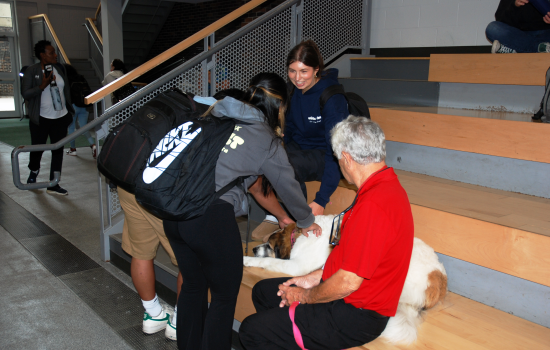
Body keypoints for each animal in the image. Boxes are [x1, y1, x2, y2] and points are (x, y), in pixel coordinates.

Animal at [246, 215, 448, 344]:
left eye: (269, 245)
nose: (254, 249)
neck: (298, 236)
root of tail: (440, 281)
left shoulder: (297, 265)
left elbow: (269, 260)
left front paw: (247, 259)